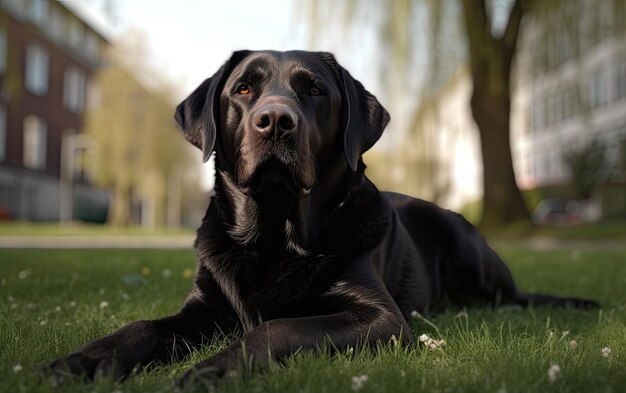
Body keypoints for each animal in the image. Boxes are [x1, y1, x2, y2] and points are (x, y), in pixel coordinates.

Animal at [46, 49, 596, 386]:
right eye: (242, 90)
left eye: (314, 92)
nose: (275, 120)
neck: (273, 237)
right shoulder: (203, 307)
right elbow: (141, 326)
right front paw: (87, 358)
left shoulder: (380, 317)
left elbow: (275, 329)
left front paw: (214, 370)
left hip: (464, 242)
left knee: (511, 297)